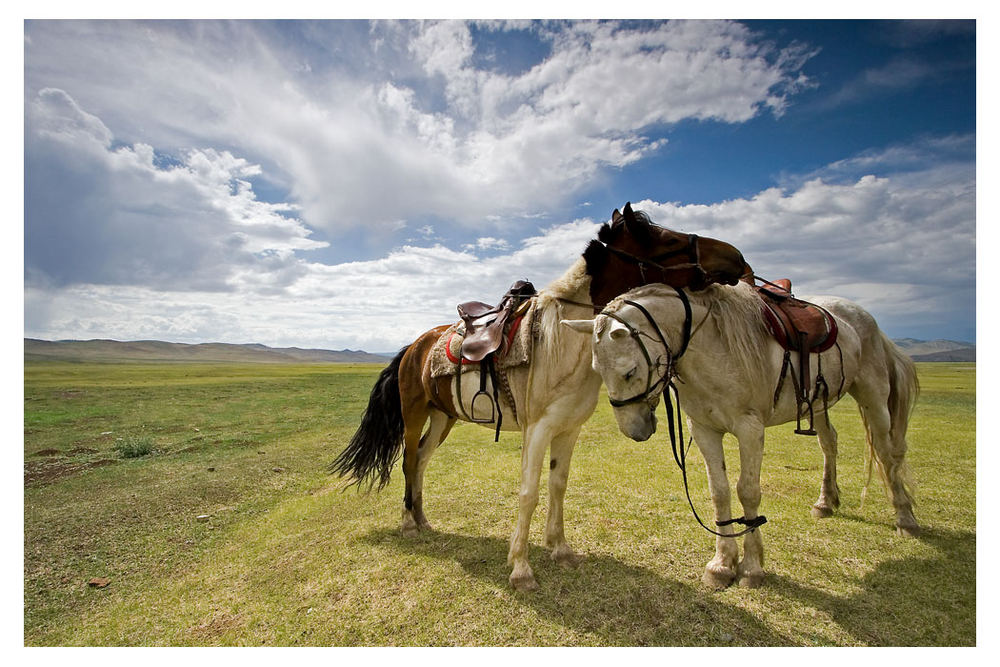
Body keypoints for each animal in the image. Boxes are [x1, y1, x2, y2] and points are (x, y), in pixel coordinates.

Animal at [334, 207, 752, 588]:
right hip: (414, 412)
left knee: (421, 460)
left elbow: (558, 485)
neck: (563, 340)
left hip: (443, 417)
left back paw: (422, 518)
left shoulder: (568, 429)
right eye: (664, 239)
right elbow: (529, 492)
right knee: (408, 461)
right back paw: (408, 524)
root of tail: (412, 347)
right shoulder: (537, 429)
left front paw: (561, 549)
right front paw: (521, 568)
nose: (737, 258)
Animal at [560, 282, 916, 588]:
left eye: (629, 371)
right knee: (830, 443)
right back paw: (826, 502)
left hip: (872, 394)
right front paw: (721, 565)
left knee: (887, 453)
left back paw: (905, 518)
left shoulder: (749, 429)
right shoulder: (704, 429)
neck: (713, 349)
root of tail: (865, 318)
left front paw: (752, 568)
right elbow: (719, 492)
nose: (634, 431)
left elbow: (748, 491)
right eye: (597, 370)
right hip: (819, 403)